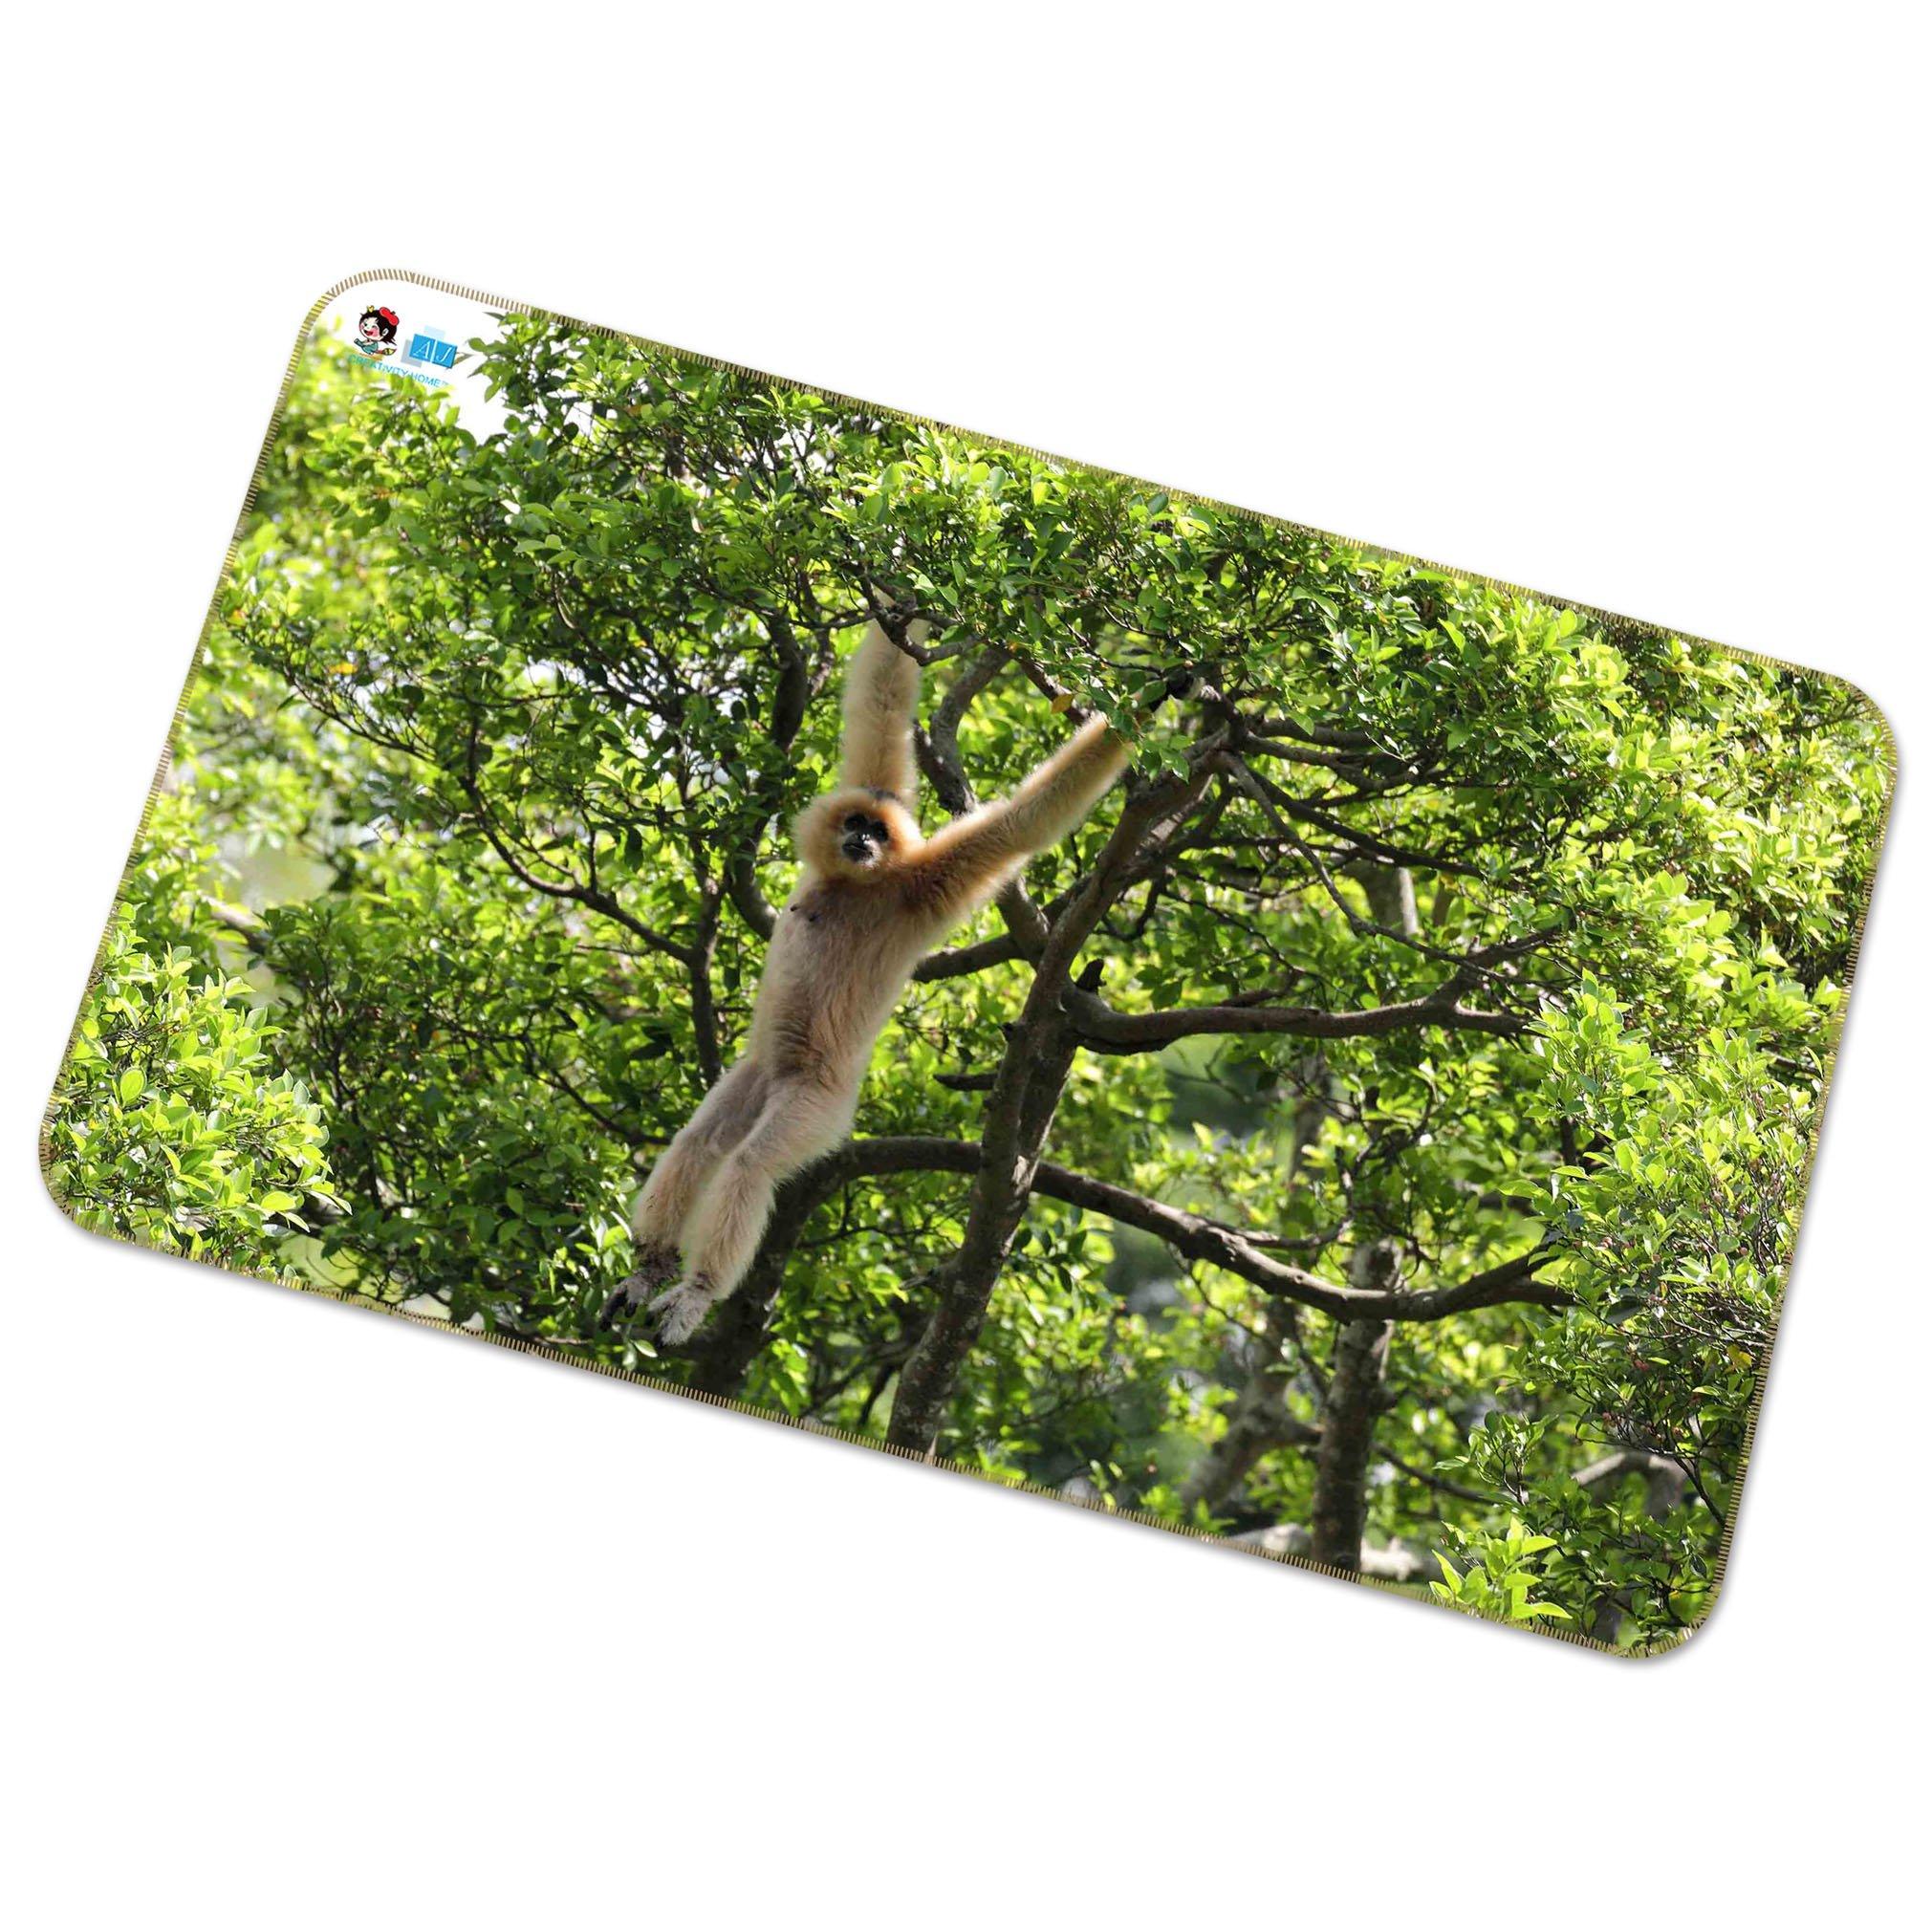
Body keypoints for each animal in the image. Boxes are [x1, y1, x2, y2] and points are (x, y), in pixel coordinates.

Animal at [601, 618, 1131, 1345]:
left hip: (816, 1104)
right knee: (700, 1142)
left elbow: (1023, 822)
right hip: (757, 1074)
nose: (865, 842)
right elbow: (881, 699)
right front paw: (907, 604)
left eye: (878, 832)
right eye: (856, 824)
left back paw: (695, 1292)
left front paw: (1167, 696)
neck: (855, 887)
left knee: (751, 1163)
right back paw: (649, 1270)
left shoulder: (920, 885)